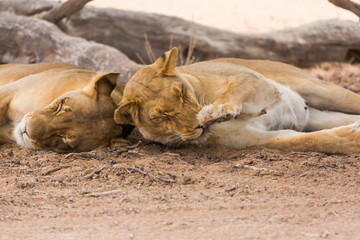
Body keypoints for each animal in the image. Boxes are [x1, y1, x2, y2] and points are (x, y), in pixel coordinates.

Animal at [114, 47, 360, 155]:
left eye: (182, 93)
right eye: (161, 116)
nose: (199, 125)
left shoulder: (255, 81)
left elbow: (234, 91)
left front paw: (217, 111)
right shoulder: (249, 138)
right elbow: (305, 141)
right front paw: (352, 141)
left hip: (319, 88)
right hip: (317, 115)